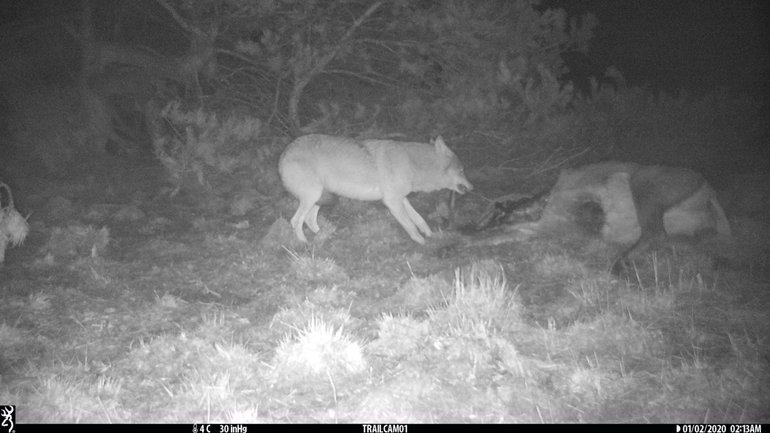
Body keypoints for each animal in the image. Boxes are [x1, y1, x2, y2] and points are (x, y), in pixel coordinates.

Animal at [278, 134, 473, 244]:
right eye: (462, 170)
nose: (472, 187)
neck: (413, 163)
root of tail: (283, 154)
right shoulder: (392, 202)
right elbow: (409, 224)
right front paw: (420, 241)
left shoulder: (401, 199)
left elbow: (419, 219)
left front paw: (430, 234)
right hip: (313, 196)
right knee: (296, 221)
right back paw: (304, 243)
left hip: (318, 198)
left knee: (309, 220)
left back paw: (324, 236)